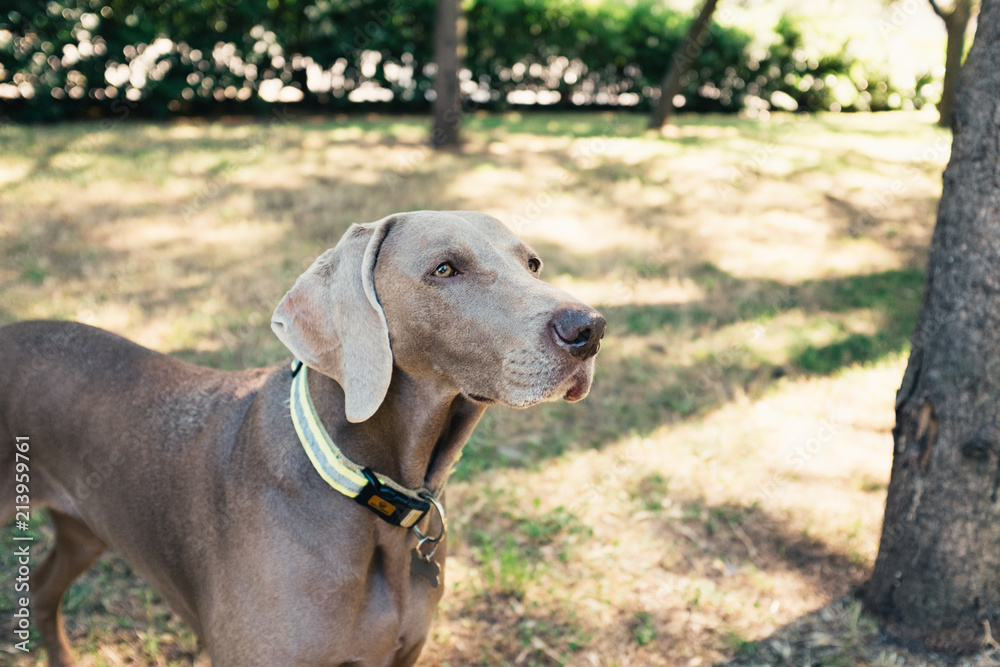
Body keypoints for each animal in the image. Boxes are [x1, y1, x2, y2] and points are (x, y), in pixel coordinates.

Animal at [0, 213, 604, 667]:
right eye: (445, 268)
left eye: (532, 264)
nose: (590, 329)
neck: (368, 490)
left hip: (84, 530)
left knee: (44, 589)